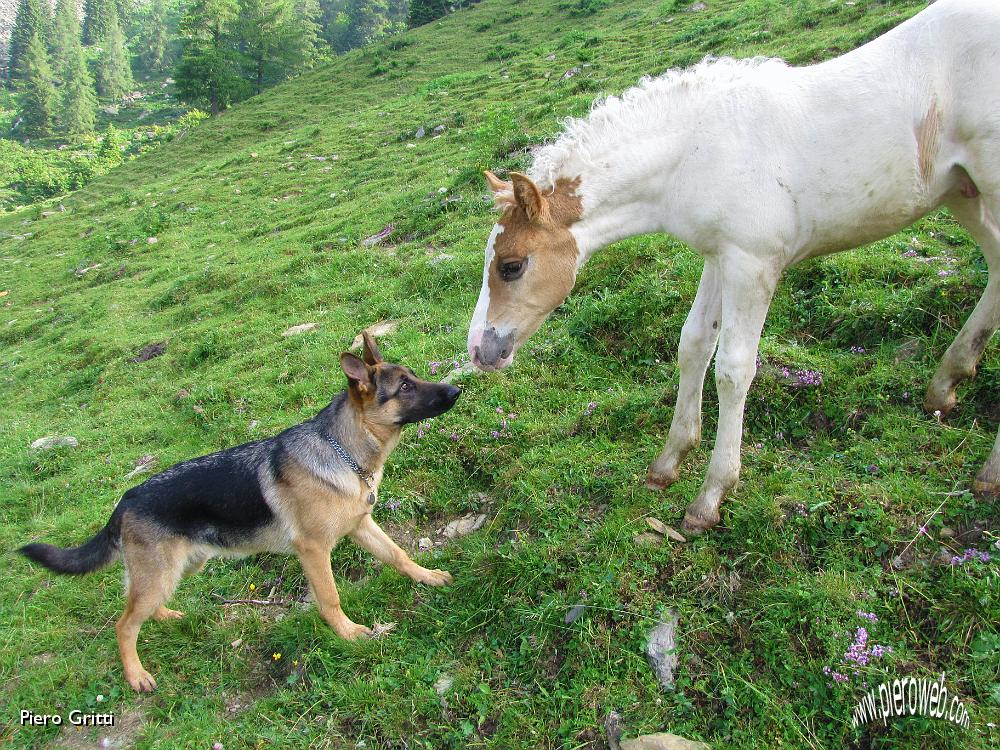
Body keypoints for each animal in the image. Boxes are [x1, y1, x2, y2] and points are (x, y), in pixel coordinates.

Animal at [20, 334, 460, 692]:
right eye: (405, 387)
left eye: (413, 376)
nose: (457, 388)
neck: (343, 451)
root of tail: (125, 500)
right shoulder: (314, 551)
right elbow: (330, 598)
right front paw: (348, 633)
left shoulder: (362, 526)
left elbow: (398, 555)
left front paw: (428, 577)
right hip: (161, 572)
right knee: (124, 625)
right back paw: (136, 675)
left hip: (177, 569)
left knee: (139, 606)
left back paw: (168, 617)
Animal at [466, 0, 1000, 536]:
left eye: (511, 266)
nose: (479, 351)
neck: (696, 152)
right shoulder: (718, 256)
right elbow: (693, 344)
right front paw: (668, 462)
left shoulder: (753, 261)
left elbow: (733, 368)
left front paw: (711, 496)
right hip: (962, 192)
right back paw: (946, 385)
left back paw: (988, 471)